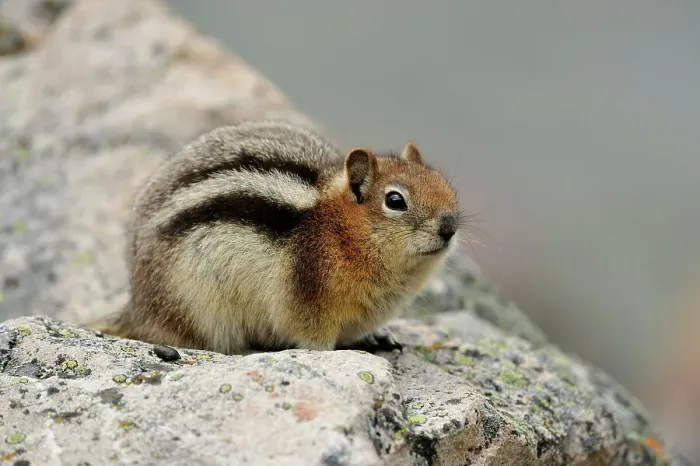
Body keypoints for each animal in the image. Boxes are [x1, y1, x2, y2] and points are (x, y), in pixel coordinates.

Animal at [87, 119, 462, 355]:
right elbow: (315, 341)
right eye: (395, 200)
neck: (340, 229)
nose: (449, 227)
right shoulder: (310, 301)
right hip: (197, 305)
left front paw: (376, 338)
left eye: (444, 185)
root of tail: (139, 305)